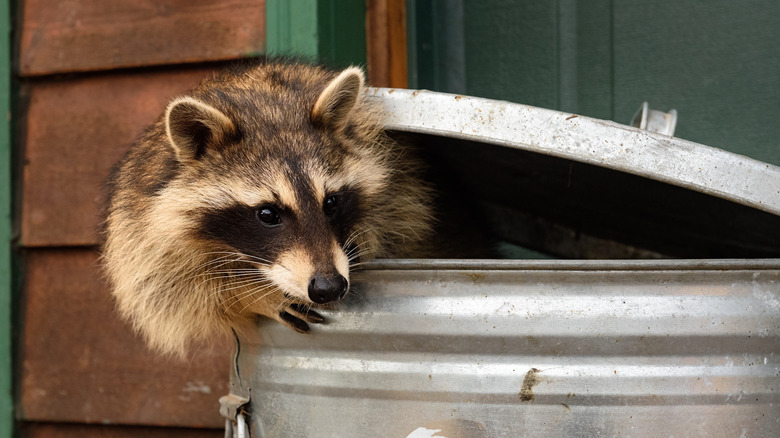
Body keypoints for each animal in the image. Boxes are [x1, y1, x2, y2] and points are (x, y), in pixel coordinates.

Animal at [103, 59, 435, 356]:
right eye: (267, 214)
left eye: (331, 202)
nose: (329, 286)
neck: (266, 107)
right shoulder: (140, 219)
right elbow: (168, 289)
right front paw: (248, 293)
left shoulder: (401, 187)